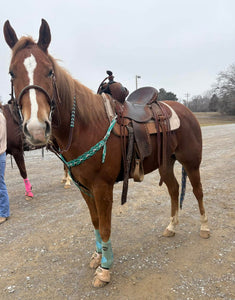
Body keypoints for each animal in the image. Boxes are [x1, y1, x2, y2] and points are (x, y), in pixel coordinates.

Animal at [3, 19, 209, 288]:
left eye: (49, 71)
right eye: (11, 73)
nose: (37, 128)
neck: (86, 126)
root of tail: (185, 110)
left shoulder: (103, 187)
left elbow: (106, 225)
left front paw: (105, 268)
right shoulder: (84, 187)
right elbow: (95, 222)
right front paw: (97, 255)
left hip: (191, 162)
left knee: (197, 191)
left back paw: (205, 227)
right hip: (166, 163)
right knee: (174, 190)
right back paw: (171, 227)